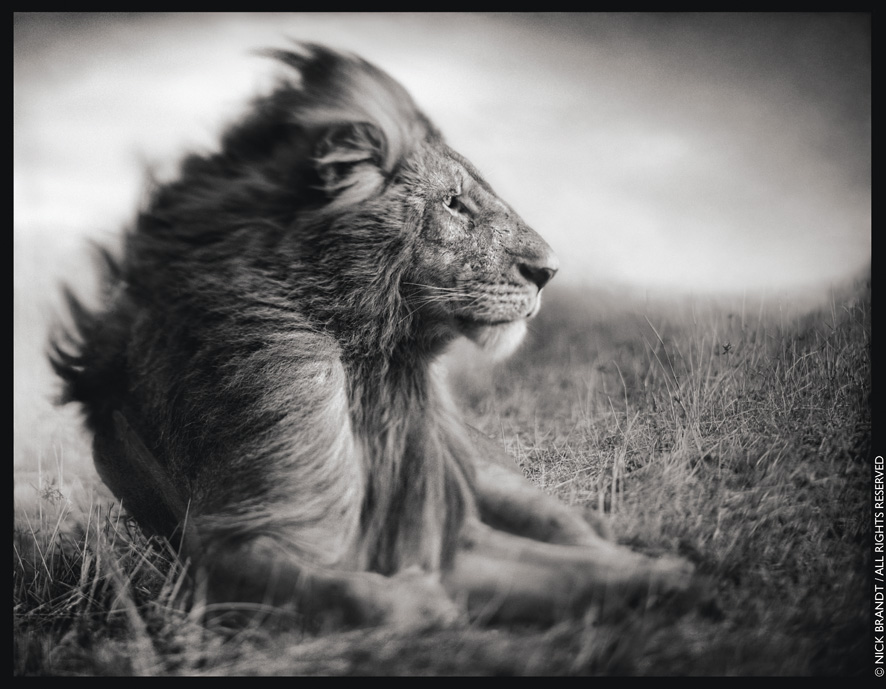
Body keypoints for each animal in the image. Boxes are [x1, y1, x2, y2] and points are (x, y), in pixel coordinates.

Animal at [51, 44, 693, 627]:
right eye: (454, 204)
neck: (370, 364)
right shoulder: (224, 548)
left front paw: (671, 576)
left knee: (572, 525)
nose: (549, 272)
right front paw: (421, 602)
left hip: (489, 477)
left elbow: (582, 569)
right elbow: (347, 591)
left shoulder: (445, 529)